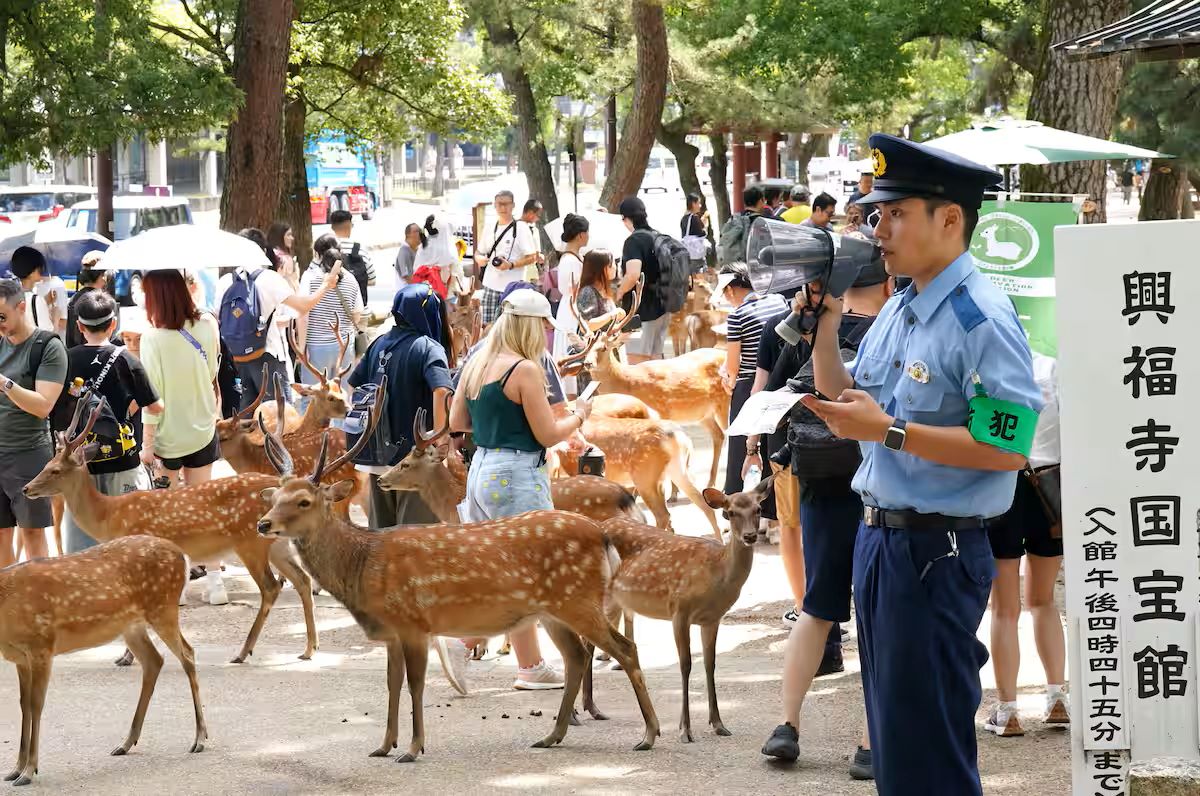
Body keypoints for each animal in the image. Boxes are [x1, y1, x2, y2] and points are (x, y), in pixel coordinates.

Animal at [0, 534, 207, 785]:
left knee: (188, 654)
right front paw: (15, 769)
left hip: (163, 608)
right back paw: (125, 743)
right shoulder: (20, 658)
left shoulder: (41, 646)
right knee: (154, 661)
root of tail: (183, 555)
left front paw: (29, 771)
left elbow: (36, 704)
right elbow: (24, 705)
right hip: (132, 625)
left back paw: (200, 739)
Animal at [23, 396, 320, 665]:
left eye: (55, 469)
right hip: (276, 543)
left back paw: (243, 652)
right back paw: (309, 648)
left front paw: (127, 657)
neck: (109, 516)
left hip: (250, 542)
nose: (26, 488)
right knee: (301, 579)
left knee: (271, 587)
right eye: (45, 465)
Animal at [582, 476, 773, 742]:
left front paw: (718, 724)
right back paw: (580, 713)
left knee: (588, 642)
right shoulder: (679, 610)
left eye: (758, 509)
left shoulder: (712, 619)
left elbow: (710, 664)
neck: (717, 574)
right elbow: (685, 665)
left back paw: (590, 709)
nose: (750, 536)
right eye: (731, 512)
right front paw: (686, 729)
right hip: (603, 596)